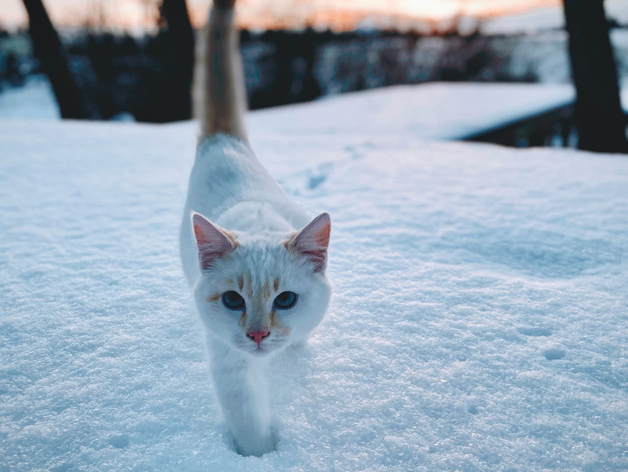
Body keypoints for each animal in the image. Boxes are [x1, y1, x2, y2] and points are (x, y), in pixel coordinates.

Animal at [179, 0, 332, 458]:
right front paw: (262, 457)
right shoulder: (230, 362)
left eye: (286, 300)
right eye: (233, 300)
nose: (259, 334)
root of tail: (223, 143)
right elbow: (248, 421)